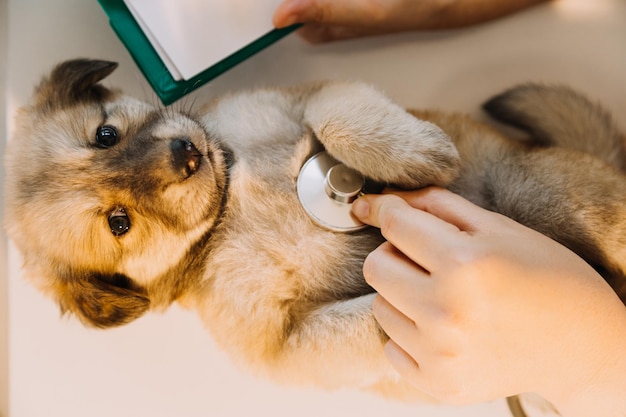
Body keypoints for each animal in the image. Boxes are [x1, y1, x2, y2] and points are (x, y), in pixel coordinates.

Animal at [6, 60, 624, 398]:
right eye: (118, 222)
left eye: (105, 135)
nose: (187, 154)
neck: (230, 201)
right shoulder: (284, 345)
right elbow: (375, 314)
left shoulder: (309, 97)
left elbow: (341, 118)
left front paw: (414, 150)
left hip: (544, 193)